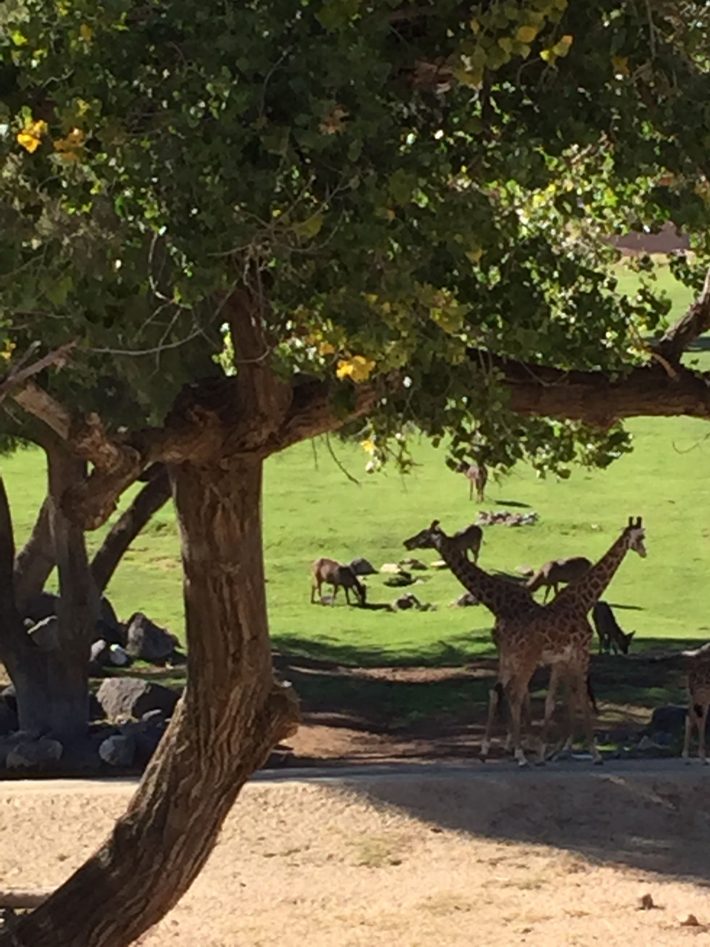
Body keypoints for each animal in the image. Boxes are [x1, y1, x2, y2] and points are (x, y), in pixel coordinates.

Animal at [404, 516, 648, 768]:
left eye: (422, 534)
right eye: (642, 536)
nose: (407, 543)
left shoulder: (557, 658)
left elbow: (555, 698)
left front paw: (546, 749)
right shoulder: (574, 654)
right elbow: (565, 697)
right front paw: (579, 752)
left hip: (518, 658)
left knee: (504, 691)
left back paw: (505, 750)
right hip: (527, 659)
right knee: (515, 691)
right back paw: (521, 751)